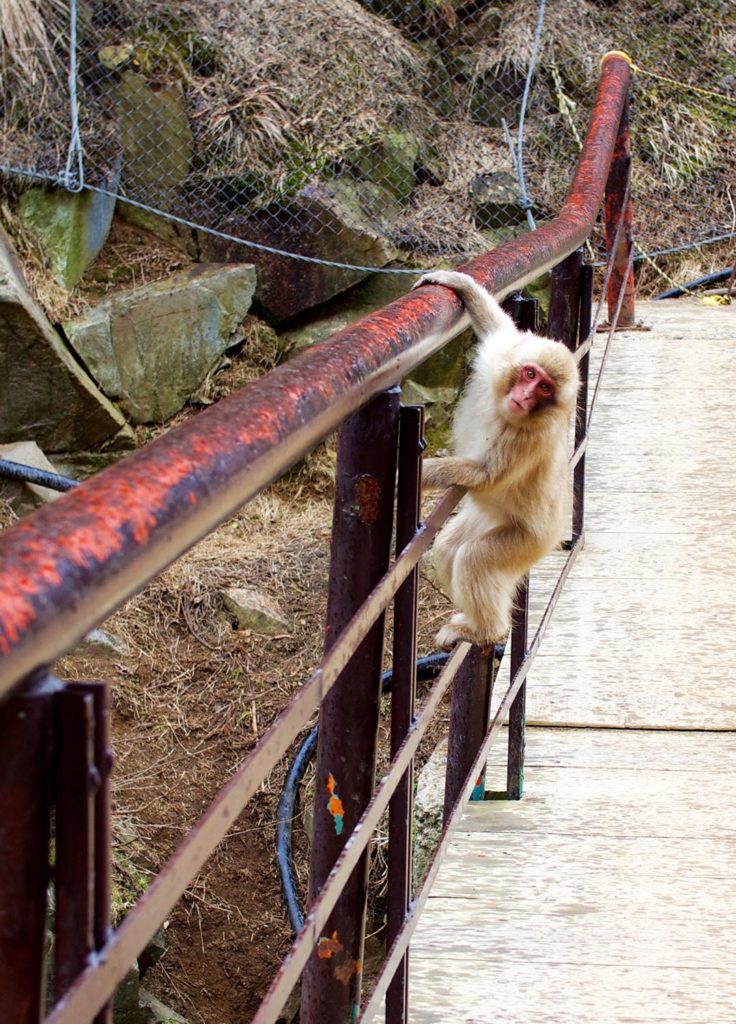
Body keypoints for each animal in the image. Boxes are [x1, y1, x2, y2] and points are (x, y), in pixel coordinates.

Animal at [411, 266, 577, 647]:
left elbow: (486, 474)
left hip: (528, 541)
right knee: (448, 547)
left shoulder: (526, 439)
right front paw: (458, 283)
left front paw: (416, 472)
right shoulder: (502, 355)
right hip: (485, 518)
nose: (525, 396)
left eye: (544, 388)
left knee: (475, 559)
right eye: (529, 374)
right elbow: (499, 328)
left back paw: (486, 631)